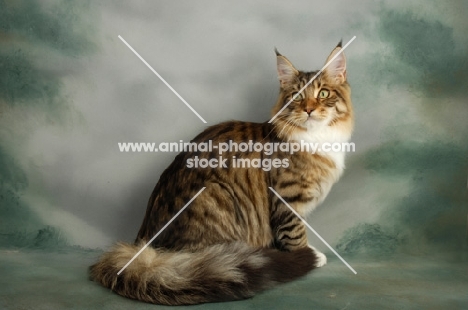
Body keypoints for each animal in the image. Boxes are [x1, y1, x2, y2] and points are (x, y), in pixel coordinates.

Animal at [89, 41, 352, 306]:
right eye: (297, 97)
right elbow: (296, 236)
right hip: (216, 197)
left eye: (323, 94)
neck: (317, 138)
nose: (308, 110)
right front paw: (309, 257)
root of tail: (144, 248)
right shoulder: (287, 201)